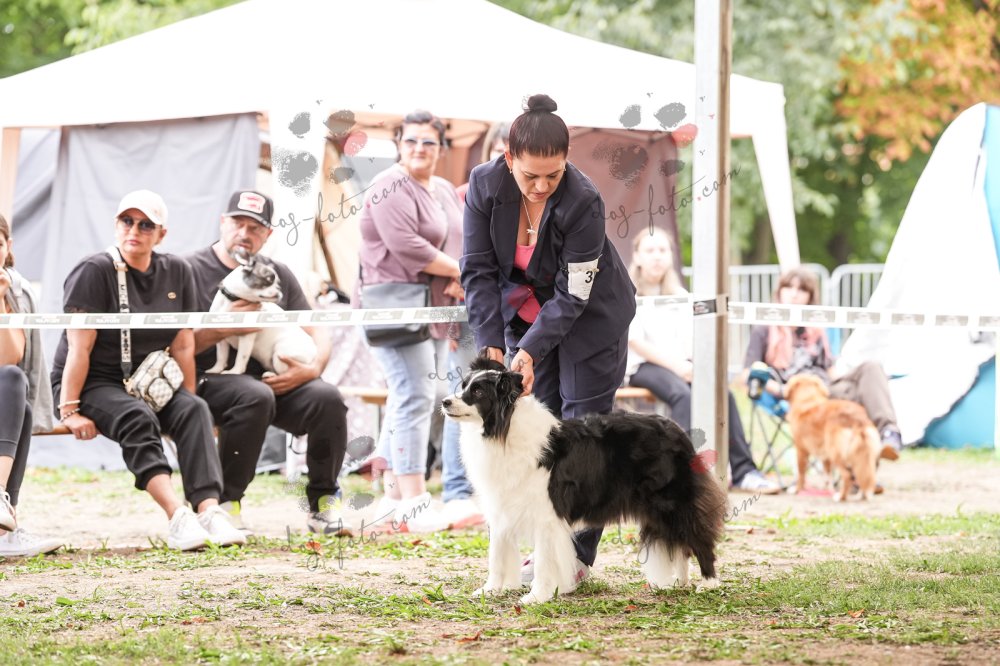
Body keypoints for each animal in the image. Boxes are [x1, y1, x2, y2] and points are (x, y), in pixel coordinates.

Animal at [441, 358, 726, 604]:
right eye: (463, 386)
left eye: (478, 392)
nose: (444, 402)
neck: (503, 430)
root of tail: (678, 430)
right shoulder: (502, 507)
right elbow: (497, 555)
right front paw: (490, 590)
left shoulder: (546, 515)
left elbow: (544, 561)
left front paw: (537, 596)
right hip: (657, 509)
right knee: (679, 544)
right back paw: (680, 581)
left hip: (673, 501)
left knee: (697, 537)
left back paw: (708, 582)